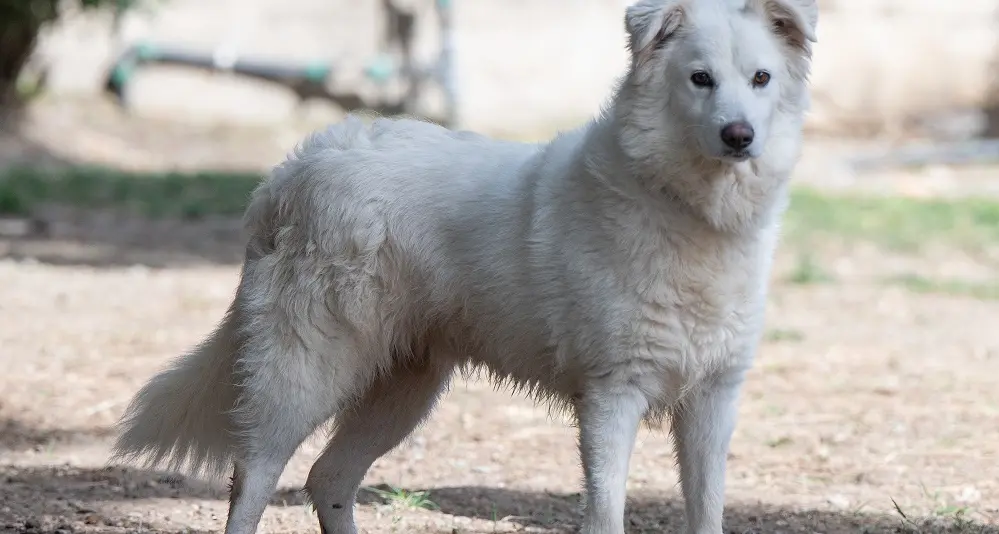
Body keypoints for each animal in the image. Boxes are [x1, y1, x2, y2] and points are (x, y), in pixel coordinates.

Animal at [109, 1, 816, 534]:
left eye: (760, 78)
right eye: (700, 78)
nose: (740, 137)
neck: (684, 210)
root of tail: (303, 162)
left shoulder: (714, 399)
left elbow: (707, 513)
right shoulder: (613, 396)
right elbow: (606, 513)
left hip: (403, 389)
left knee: (326, 478)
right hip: (306, 369)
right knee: (253, 477)